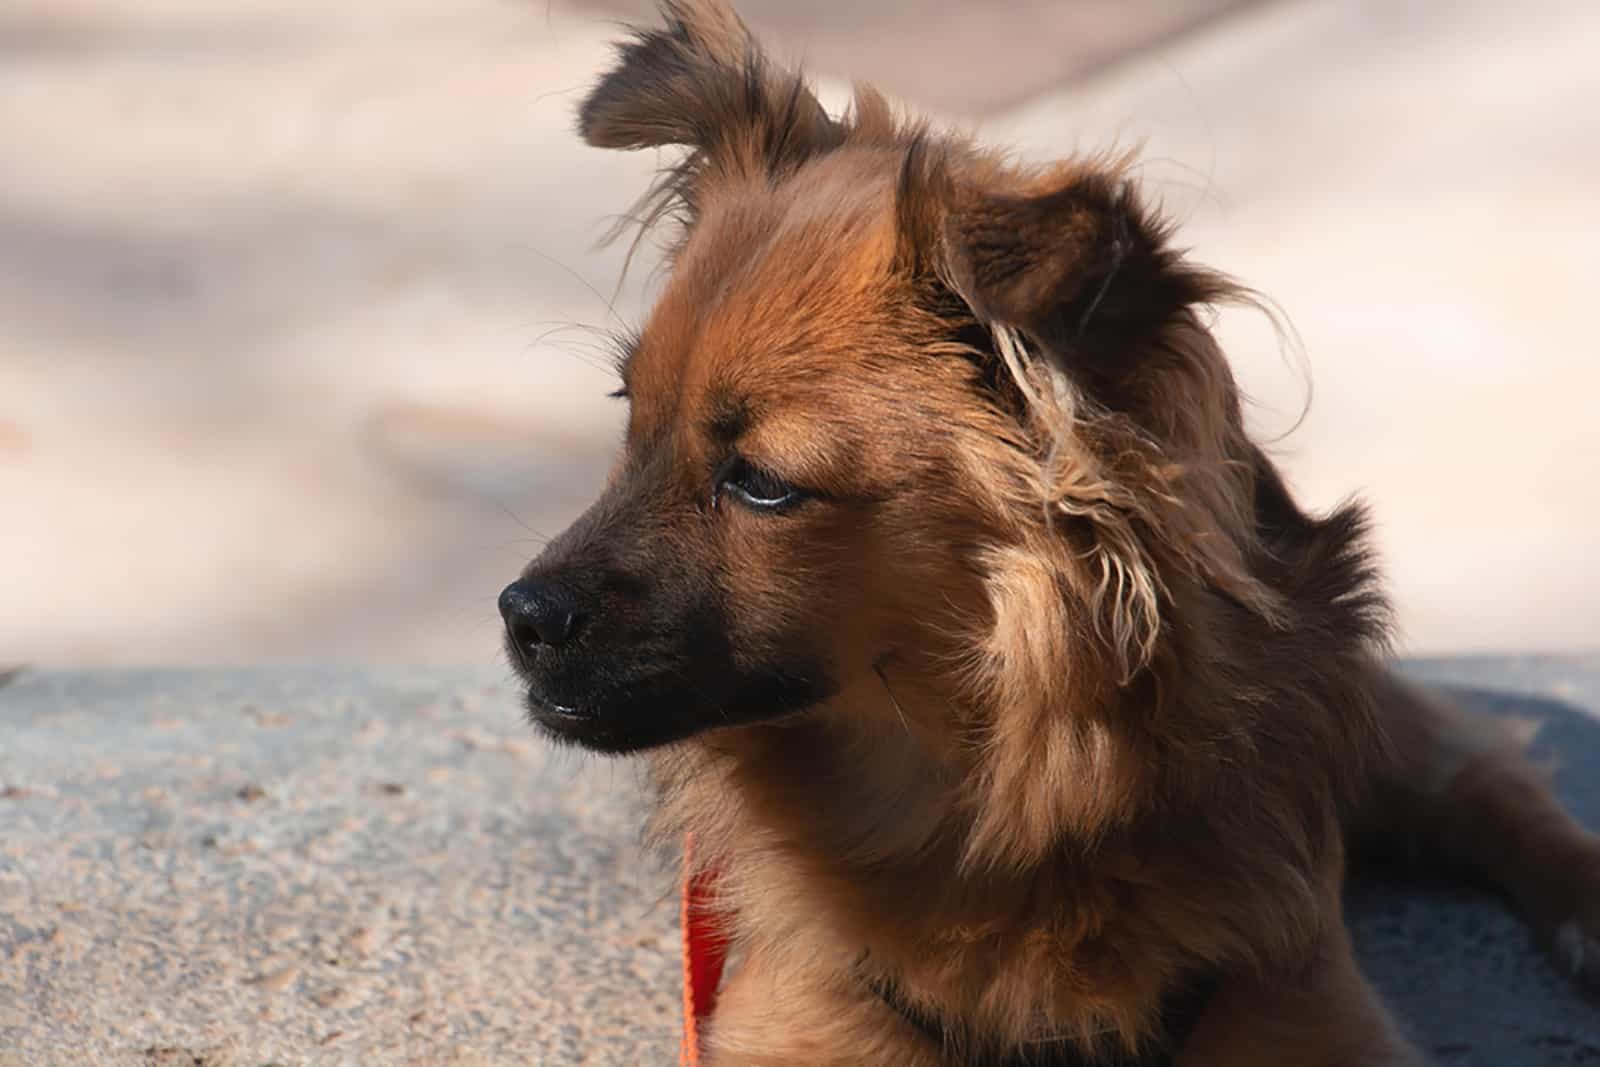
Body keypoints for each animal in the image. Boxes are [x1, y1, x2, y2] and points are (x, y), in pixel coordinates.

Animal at [499, 4, 1600, 1062]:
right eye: (630, 422)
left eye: (761, 484)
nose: (517, 614)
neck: (1000, 803)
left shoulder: (1302, 997)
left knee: (1484, 771)